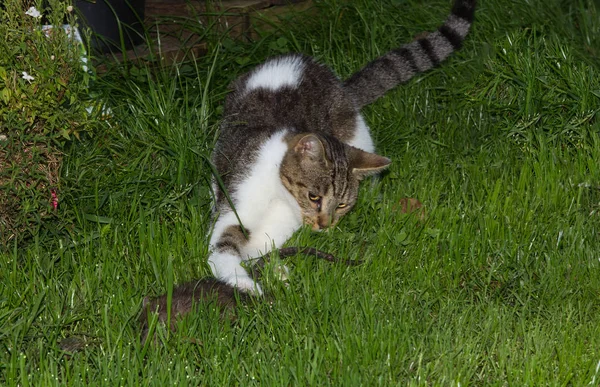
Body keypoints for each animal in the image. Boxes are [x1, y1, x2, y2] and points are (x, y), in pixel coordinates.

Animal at [209, 0, 476, 294]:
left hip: (359, 136)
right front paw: (245, 282)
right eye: (314, 197)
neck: (279, 194)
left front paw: (274, 271)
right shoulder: (236, 206)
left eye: (342, 205)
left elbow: (260, 249)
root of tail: (337, 84)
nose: (325, 225)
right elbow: (224, 249)